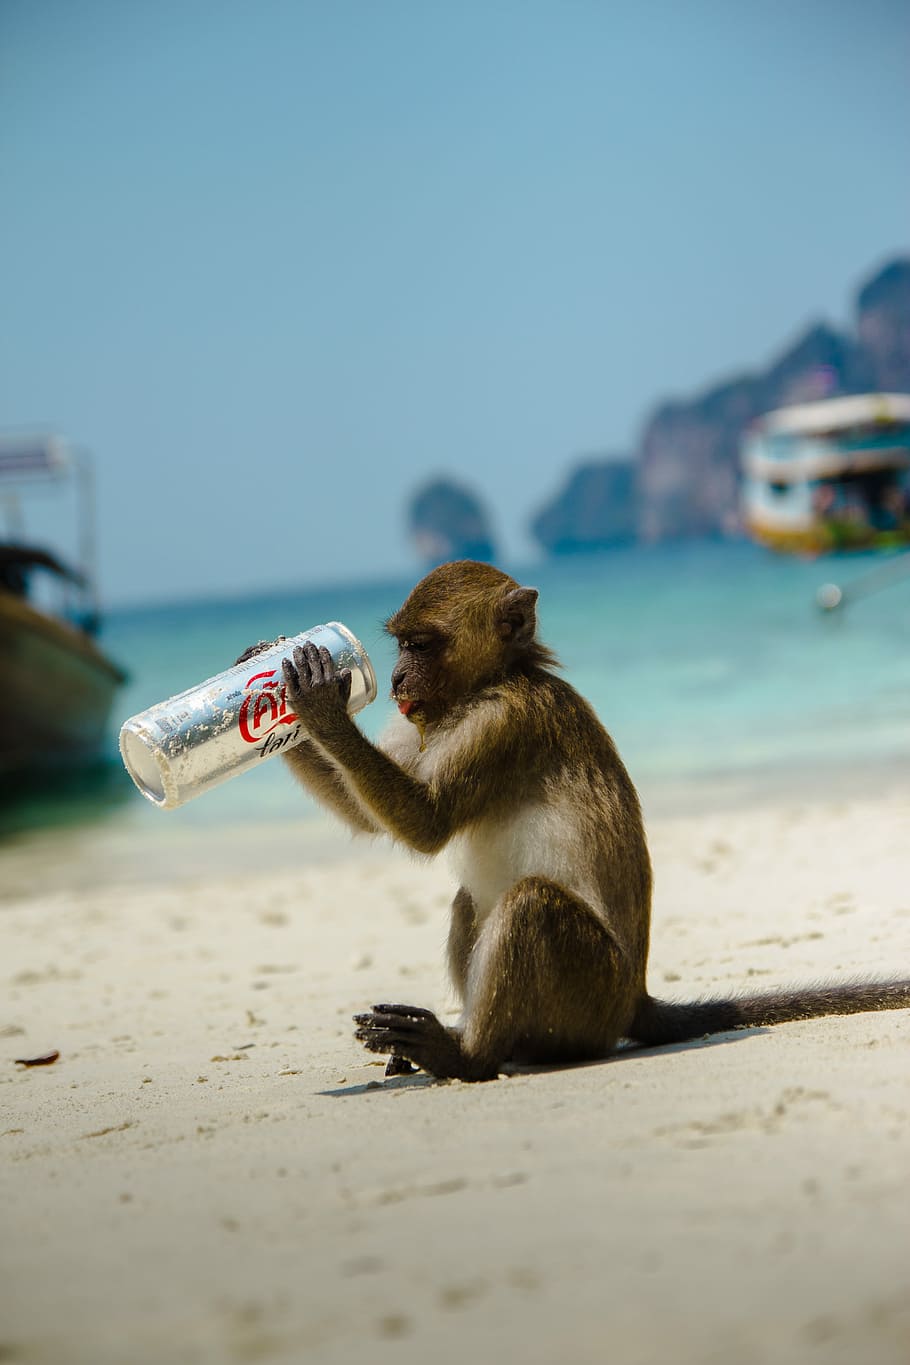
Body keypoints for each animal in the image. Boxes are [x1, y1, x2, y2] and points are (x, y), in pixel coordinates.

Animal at [239, 560, 910, 1082]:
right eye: (400, 645)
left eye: (421, 644)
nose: (398, 678)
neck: (494, 681)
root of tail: (633, 999)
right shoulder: (423, 719)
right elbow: (374, 818)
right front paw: (264, 685)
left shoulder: (504, 722)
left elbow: (427, 825)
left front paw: (317, 701)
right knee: (472, 900)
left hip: (591, 998)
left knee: (530, 903)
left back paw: (468, 1056)